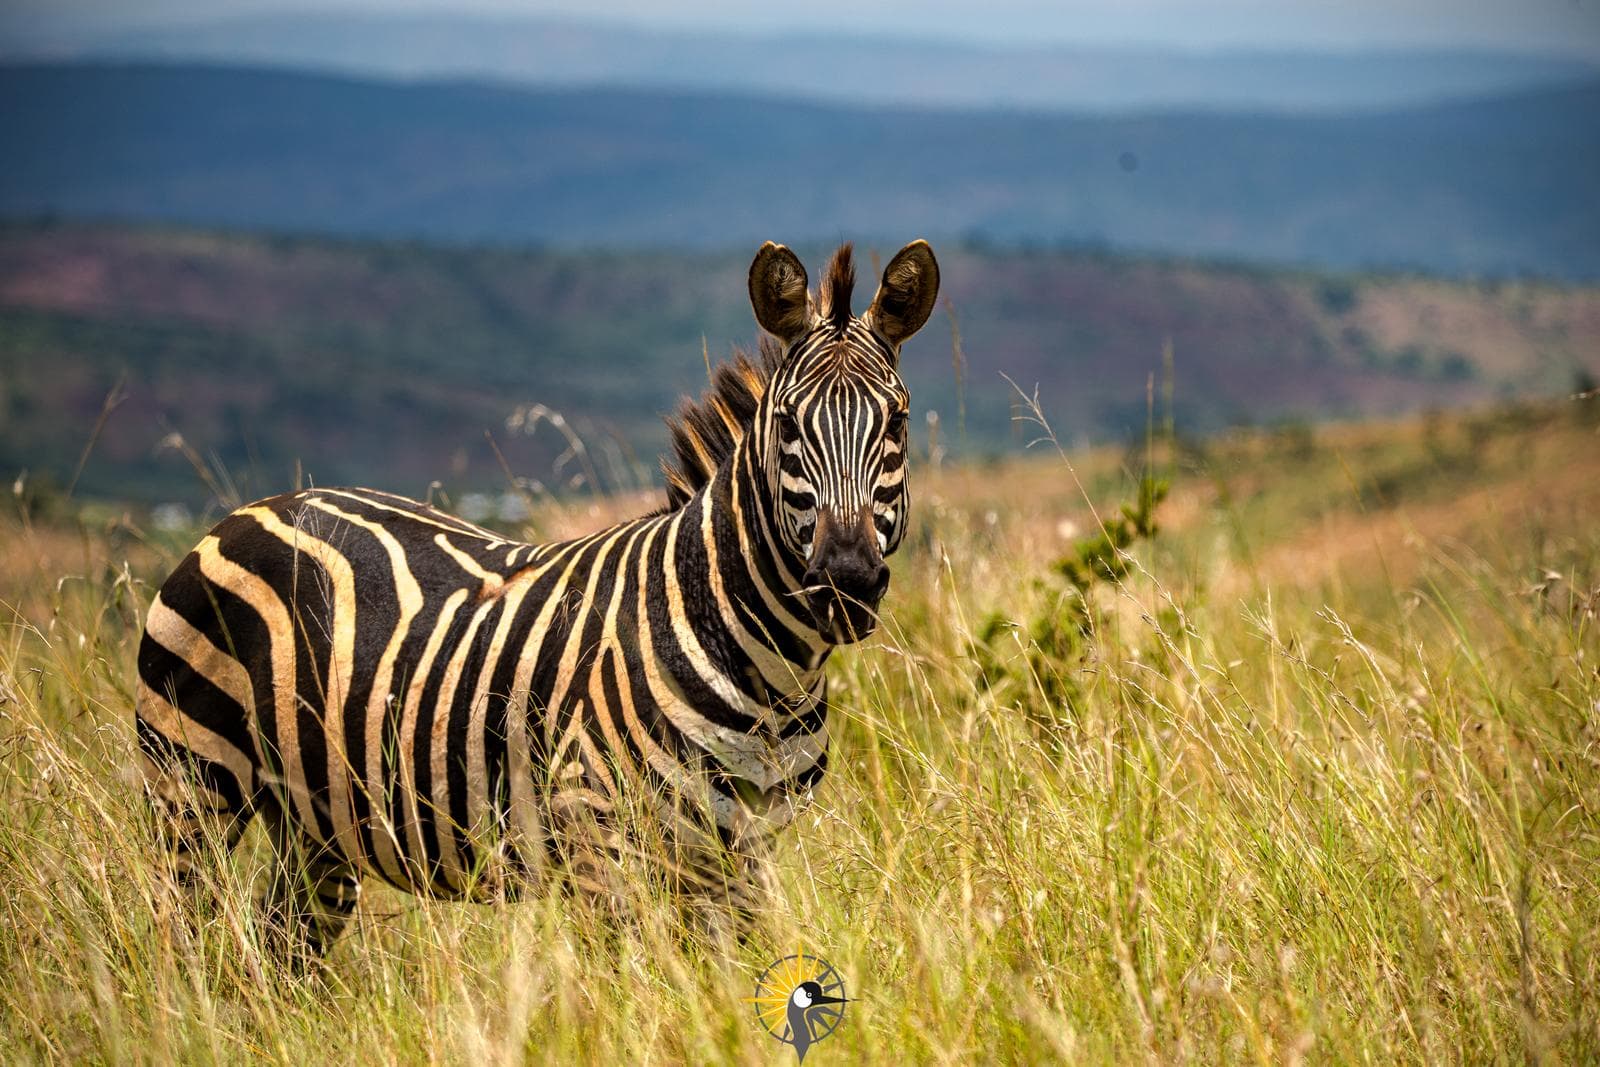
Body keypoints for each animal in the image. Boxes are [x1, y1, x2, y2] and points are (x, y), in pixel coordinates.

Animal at [135, 239, 940, 954]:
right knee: (181, 944)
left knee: (277, 961)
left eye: (899, 421)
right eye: (788, 424)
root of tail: (256, 508)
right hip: (192, 786)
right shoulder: (597, 839)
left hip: (316, 825)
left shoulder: (739, 853)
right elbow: (632, 999)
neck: (768, 671)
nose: (846, 581)